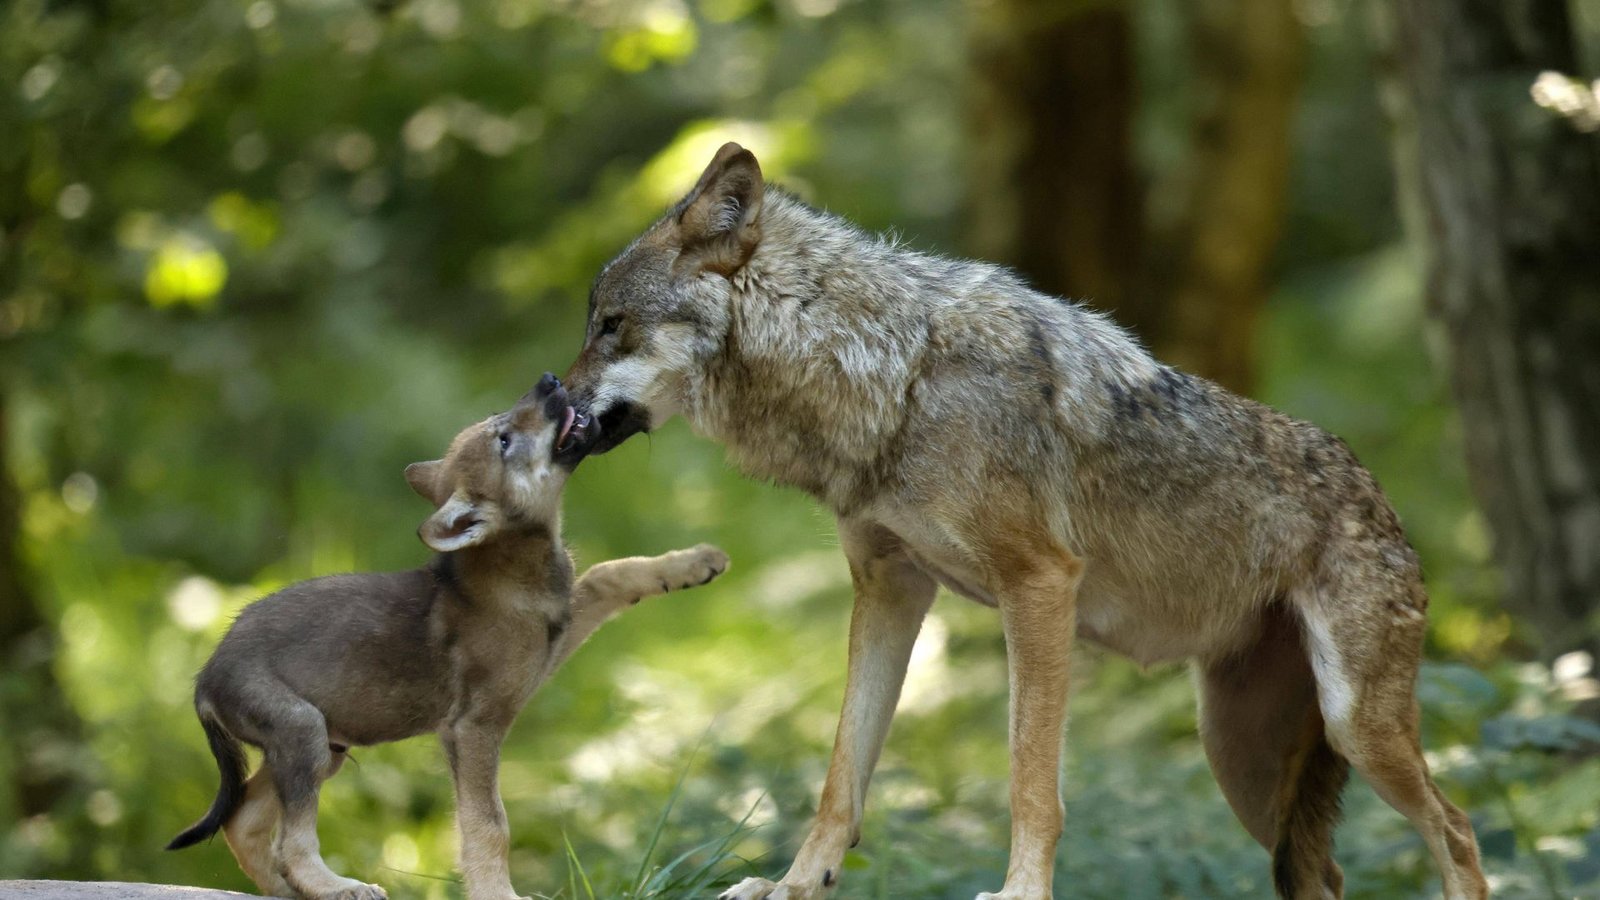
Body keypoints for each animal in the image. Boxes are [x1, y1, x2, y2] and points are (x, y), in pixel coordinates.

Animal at [167, 374, 729, 900]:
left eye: (500, 421)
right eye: (503, 439)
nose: (548, 380)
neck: (513, 566)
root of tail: (203, 681)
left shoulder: (556, 641)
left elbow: (610, 573)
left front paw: (693, 563)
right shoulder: (474, 727)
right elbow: (489, 825)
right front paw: (498, 894)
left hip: (326, 746)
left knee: (243, 821)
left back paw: (292, 891)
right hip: (303, 733)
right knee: (290, 841)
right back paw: (341, 886)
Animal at [553, 143, 1490, 900]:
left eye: (611, 326)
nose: (550, 401)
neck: (892, 376)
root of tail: (1382, 497)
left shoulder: (1038, 586)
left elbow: (1029, 780)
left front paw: (1019, 892)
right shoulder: (890, 587)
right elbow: (840, 776)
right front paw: (793, 885)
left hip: (1354, 727)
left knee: (1458, 831)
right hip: (1241, 760)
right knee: (1329, 871)